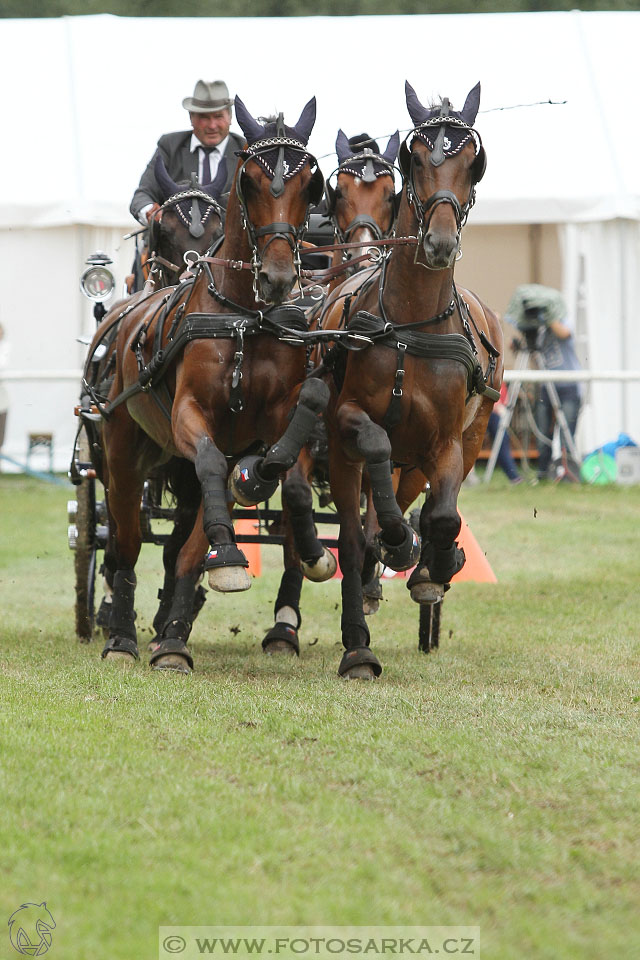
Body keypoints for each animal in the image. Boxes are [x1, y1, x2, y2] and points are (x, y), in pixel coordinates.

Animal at [92, 95, 328, 668]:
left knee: (181, 547)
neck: (245, 318)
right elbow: (211, 461)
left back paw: (170, 631)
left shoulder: (275, 419)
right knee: (125, 543)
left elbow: (280, 471)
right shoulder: (190, 414)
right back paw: (121, 634)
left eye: (310, 183)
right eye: (250, 180)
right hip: (122, 450)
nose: (279, 278)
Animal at [322, 84, 502, 684]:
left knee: (408, 500)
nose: (440, 243)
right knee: (359, 523)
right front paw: (399, 545)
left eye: (474, 163)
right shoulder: (348, 419)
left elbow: (445, 515)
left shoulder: (444, 443)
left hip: (459, 441)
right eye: (416, 160)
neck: (411, 326)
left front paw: (438, 562)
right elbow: (375, 448)